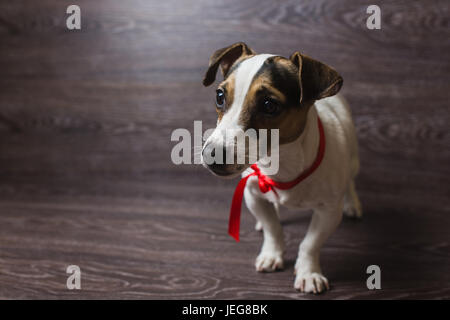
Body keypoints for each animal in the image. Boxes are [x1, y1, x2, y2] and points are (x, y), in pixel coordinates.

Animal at [200, 42, 362, 292]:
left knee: (351, 181)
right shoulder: (253, 194)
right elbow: (272, 229)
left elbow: (310, 243)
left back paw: (352, 203)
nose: (211, 155)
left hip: (352, 158)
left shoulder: (328, 212)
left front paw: (308, 272)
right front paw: (272, 254)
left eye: (269, 105)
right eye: (219, 96)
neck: (280, 164)